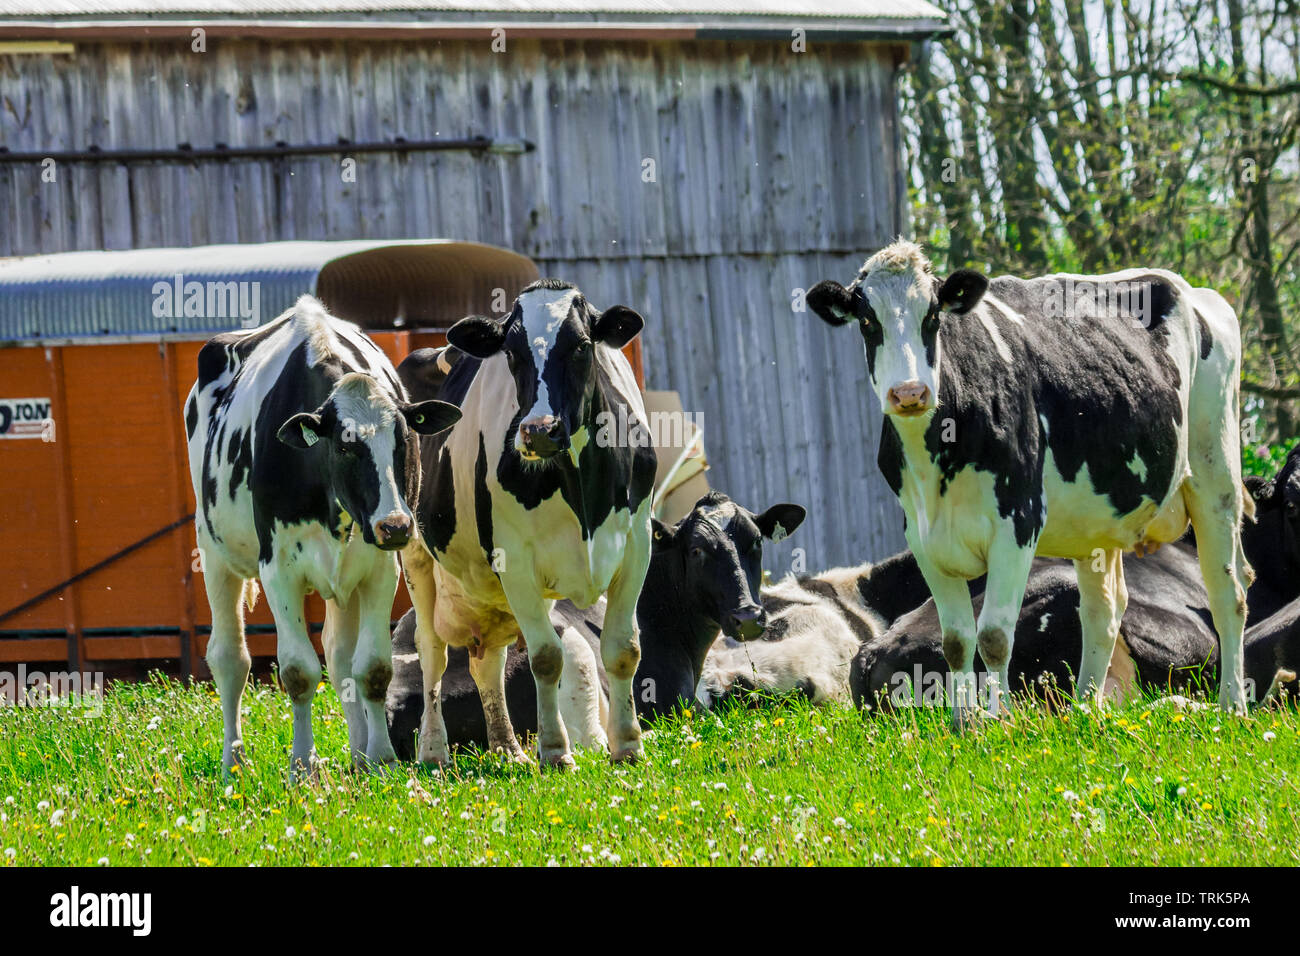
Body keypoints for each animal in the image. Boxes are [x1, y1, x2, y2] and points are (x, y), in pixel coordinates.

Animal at [185, 295, 462, 775]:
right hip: (214, 552)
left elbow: (372, 668)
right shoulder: (278, 570)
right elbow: (298, 671)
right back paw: (233, 761)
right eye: (346, 446)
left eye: (404, 440)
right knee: (230, 658)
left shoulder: (379, 568)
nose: (395, 525)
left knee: (340, 655)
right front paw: (301, 765)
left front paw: (381, 758)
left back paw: (359, 752)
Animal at [400, 278, 655, 770]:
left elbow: (625, 649)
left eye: (581, 346)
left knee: (486, 662)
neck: (580, 489)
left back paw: (508, 748)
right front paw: (555, 751)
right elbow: (546, 658)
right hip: (416, 556)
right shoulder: (514, 560)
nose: (539, 430)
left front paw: (628, 747)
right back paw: (434, 751)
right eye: (512, 353)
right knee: (432, 654)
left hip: (489, 595)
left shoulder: (637, 545)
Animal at [806, 239, 1253, 723]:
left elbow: (994, 636)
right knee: (1103, 610)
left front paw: (998, 721)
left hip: (1215, 474)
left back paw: (1233, 704)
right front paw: (963, 723)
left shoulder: (1017, 524)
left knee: (1229, 594)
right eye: (869, 321)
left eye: (933, 317)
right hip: (1097, 525)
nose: (909, 393)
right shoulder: (923, 538)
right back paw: (1086, 709)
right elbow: (956, 640)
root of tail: (1187, 287)